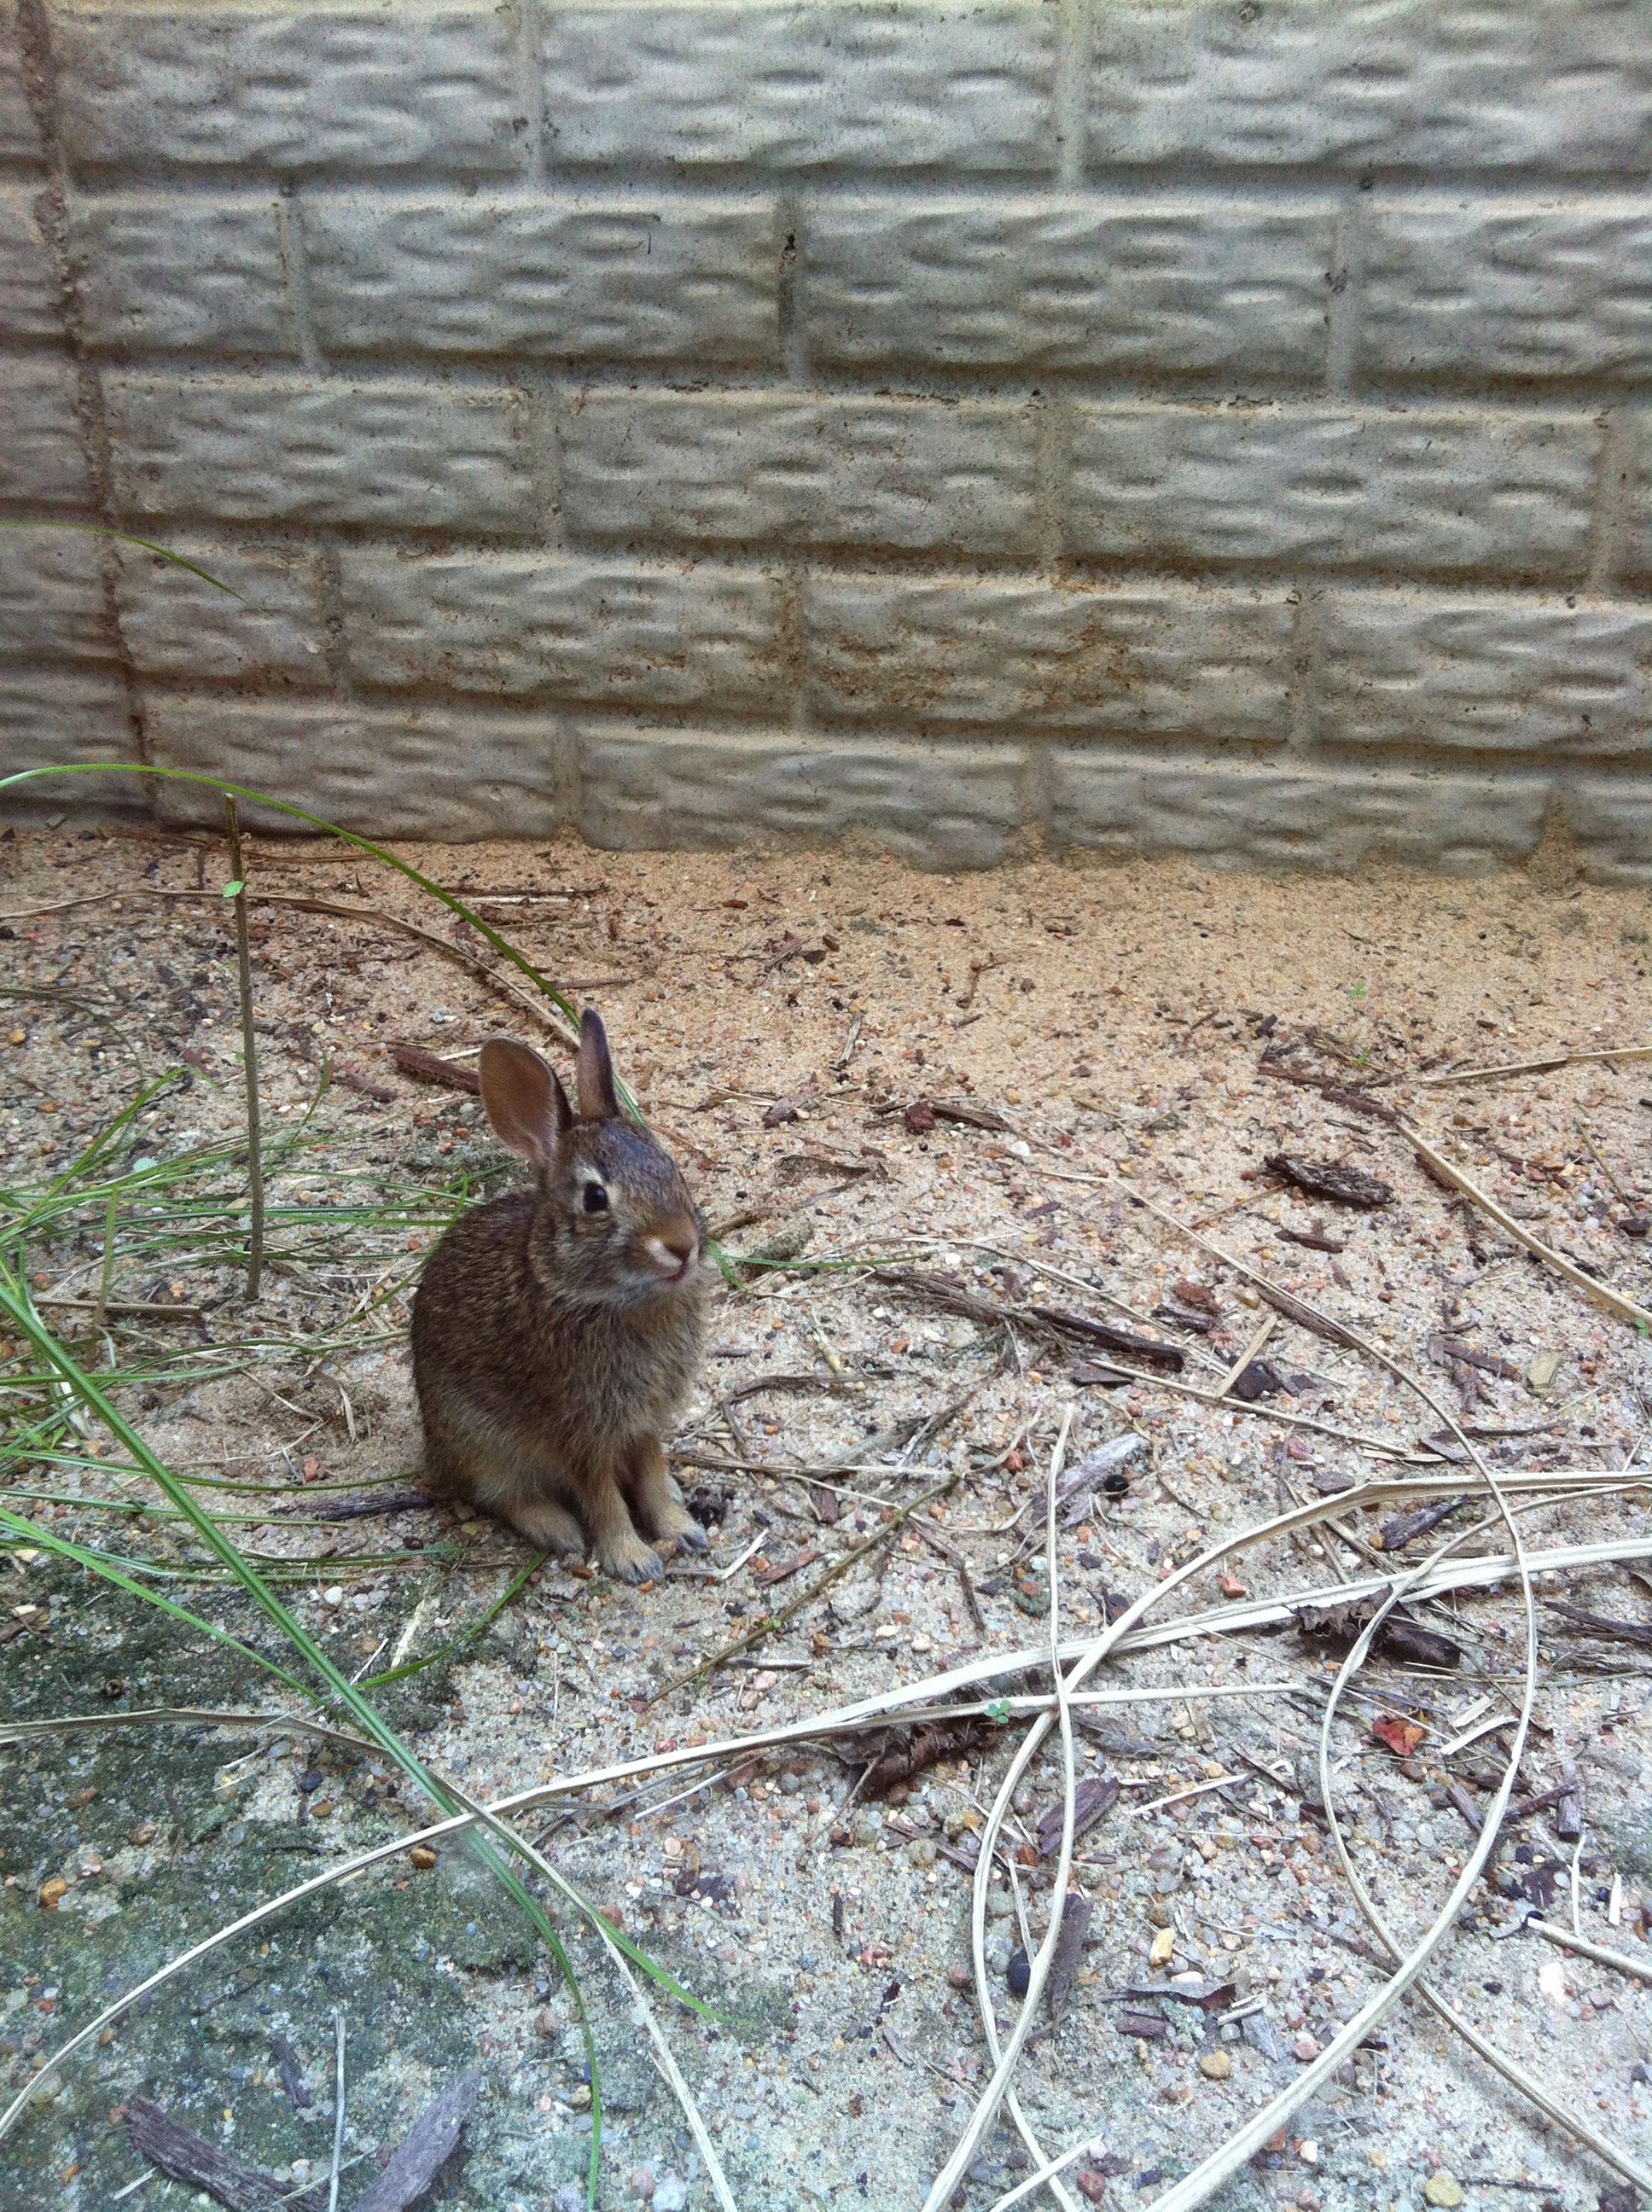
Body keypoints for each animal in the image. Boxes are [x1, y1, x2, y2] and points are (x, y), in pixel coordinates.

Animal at [410, 1009, 710, 1584]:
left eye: (671, 1167)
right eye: (595, 1198)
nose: (682, 1246)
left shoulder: (644, 1423)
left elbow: (651, 1475)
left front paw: (681, 1529)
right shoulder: (580, 1430)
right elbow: (602, 1497)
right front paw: (631, 1558)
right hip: (479, 1441)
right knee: (498, 1495)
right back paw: (558, 1529)